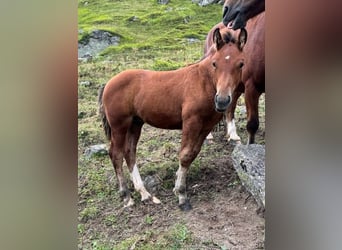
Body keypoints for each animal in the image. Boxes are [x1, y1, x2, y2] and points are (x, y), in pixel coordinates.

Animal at [98, 28, 246, 210]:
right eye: (215, 63)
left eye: (241, 64)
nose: (222, 101)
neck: (203, 82)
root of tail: (108, 83)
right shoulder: (191, 122)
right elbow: (185, 154)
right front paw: (181, 195)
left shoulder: (206, 126)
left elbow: (192, 154)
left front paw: (177, 187)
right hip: (119, 125)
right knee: (116, 154)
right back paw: (126, 196)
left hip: (135, 124)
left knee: (129, 152)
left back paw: (145, 194)